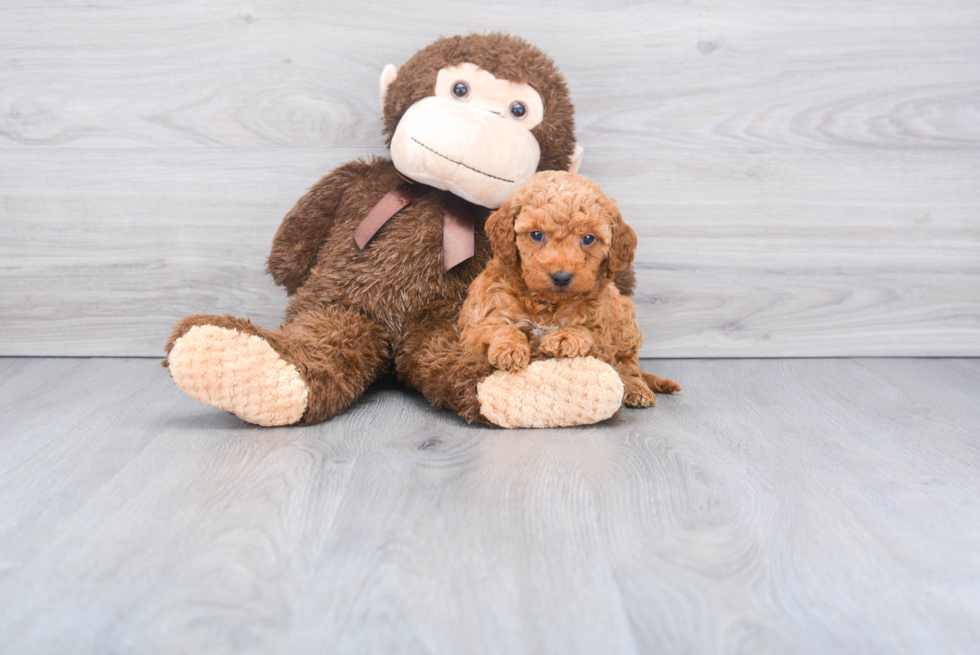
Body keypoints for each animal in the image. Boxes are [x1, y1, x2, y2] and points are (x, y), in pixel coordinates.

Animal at [456, 169, 676, 408]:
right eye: (536, 235)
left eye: (588, 238)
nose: (561, 277)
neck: (548, 304)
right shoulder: (475, 329)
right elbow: (499, 328)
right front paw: (510, 349)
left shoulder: (603, 334)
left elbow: (586, 331)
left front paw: (564, 338)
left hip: (625, 319)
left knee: (628, 362)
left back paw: (636, 386)